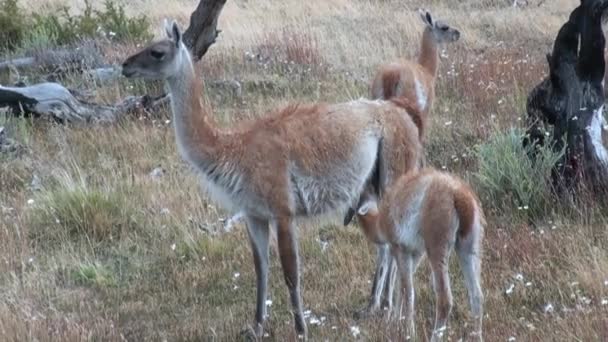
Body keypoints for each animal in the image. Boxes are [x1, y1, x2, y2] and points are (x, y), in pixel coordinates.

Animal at [121, 20, 420, 338]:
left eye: (157, 52)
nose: (125, 65)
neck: (234, 150)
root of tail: (403, 114)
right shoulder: (254, 213)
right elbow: (260, 268)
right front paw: (255, 327)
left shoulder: (282, 209)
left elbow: (291, 274)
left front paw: (301, 330)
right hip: (375, 185)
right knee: (384, 244)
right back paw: (375, 306)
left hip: (396, 172)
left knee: (394, 242)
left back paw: (391, 311)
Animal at [356, 170, 484, 340]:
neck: (380, 222)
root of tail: (459, 195)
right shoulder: (415, 253)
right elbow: (401, 286)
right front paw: (395, 323)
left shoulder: (401, 250)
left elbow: (407, 291)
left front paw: (407, 332)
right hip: (468, 249)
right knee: (476, 296)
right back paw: (477, 336)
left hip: (437, 248)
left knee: (445, 300)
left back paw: (433, 337)